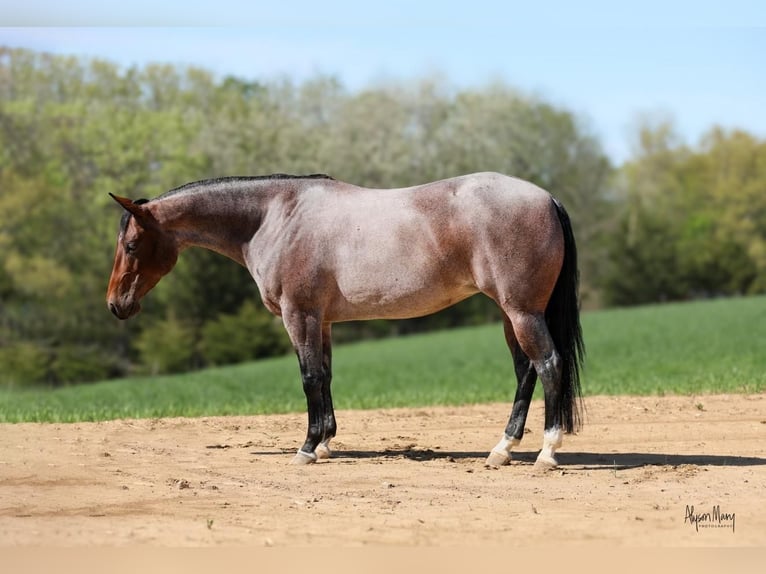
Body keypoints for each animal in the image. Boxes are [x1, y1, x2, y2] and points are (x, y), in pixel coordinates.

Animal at [108, 173, 584, 470]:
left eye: (130, 245)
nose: (115, 305)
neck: (275, 217)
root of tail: (546, 198)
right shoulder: (321, 321)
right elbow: (326, 376)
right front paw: (325, 444)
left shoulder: (298, 315)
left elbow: (309, 378)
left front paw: (306, 448)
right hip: (510, 313)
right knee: (525, 371)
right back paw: (502, 449)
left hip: (521, 312)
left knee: (548, 365)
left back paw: (546, 452)